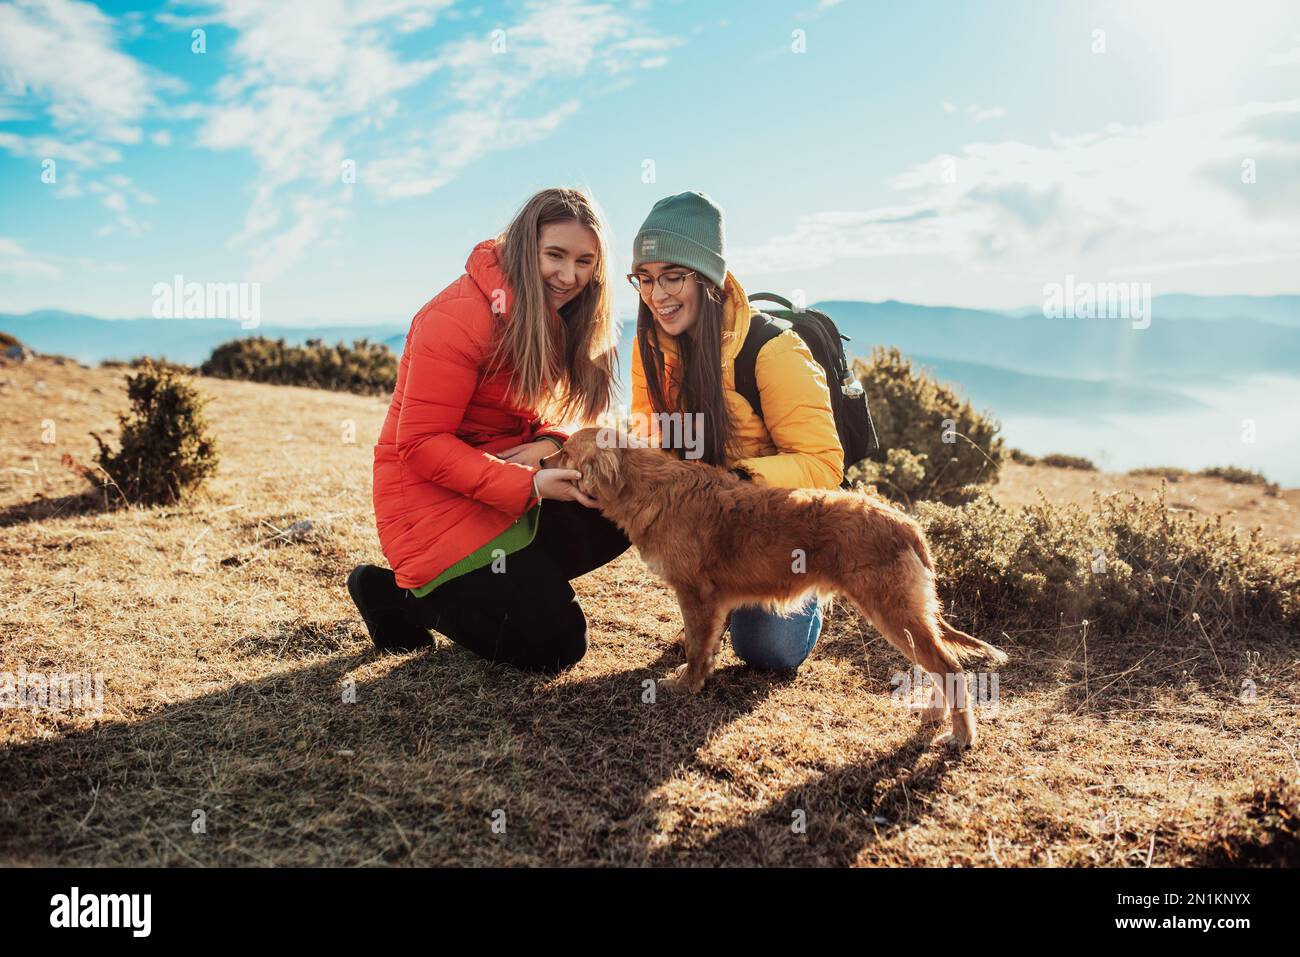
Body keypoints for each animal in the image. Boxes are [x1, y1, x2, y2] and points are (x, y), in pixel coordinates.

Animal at [553, 426, 1008, 748]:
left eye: (565, 451)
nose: (544, 459)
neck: (649, 486)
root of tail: (905, 522)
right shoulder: (712, 603)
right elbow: (706, 646)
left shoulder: (697, 595)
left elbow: (697, 649)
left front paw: (686, 685)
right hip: (907, 618)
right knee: (941, 666)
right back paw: (935, 715)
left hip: (894, 613)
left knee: (950, 667)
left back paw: (961, 735)